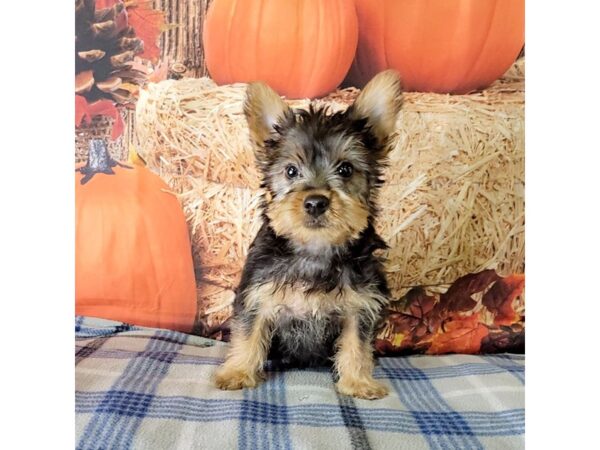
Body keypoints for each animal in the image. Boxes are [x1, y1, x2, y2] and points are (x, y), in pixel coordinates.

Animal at [213, 71, 400, 400]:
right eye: (291, 171)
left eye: (346, 169)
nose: (315, 202)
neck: (314, 250)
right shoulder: (257, 296)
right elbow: (248, 334)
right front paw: (238, 372)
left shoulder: (360, 304)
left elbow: (357, 343)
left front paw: (358, 381)